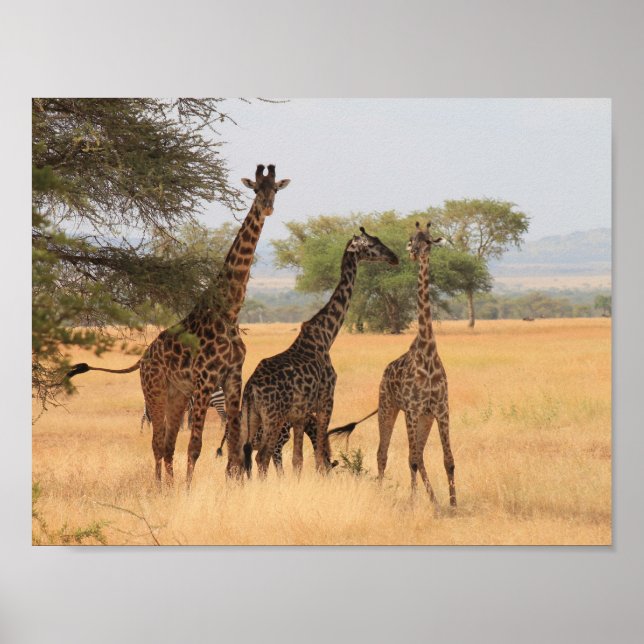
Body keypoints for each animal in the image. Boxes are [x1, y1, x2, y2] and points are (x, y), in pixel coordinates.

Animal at [66, 164, 290, 485]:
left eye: (276, 190)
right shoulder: (205, 379)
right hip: (155, 389)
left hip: (177, 394)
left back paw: (168, 486)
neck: (229, 312)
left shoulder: (232, 377)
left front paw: (232, 485)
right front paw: (188, 488)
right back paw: (161, 487)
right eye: (256, 189)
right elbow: (196, 445)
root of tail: (143, 359)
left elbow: (234, 443)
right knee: (158, 442)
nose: (268, 207)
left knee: (168, 443)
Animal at [231, 228, 399, 477]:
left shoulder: (300, 414)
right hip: (272, 417)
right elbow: (319, 457)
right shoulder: (326, 399)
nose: (394, 257)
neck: (326, 336)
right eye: (371, 244)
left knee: (238, 460)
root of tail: (251, 389)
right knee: (262, 456)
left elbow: (298, 460)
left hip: (249, 418)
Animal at [377, 222, 456, 506]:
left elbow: (448, 460)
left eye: (429, 241)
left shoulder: (441, 409)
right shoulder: (411, 409)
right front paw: (413, 503)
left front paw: (453, 504)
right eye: (411, 239)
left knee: (419, 454)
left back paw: (434, 501)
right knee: (384, 453)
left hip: (425, 417)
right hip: (388, 407)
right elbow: (410, 459)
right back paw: (381, 492)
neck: (428, 354)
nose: (414, 252)